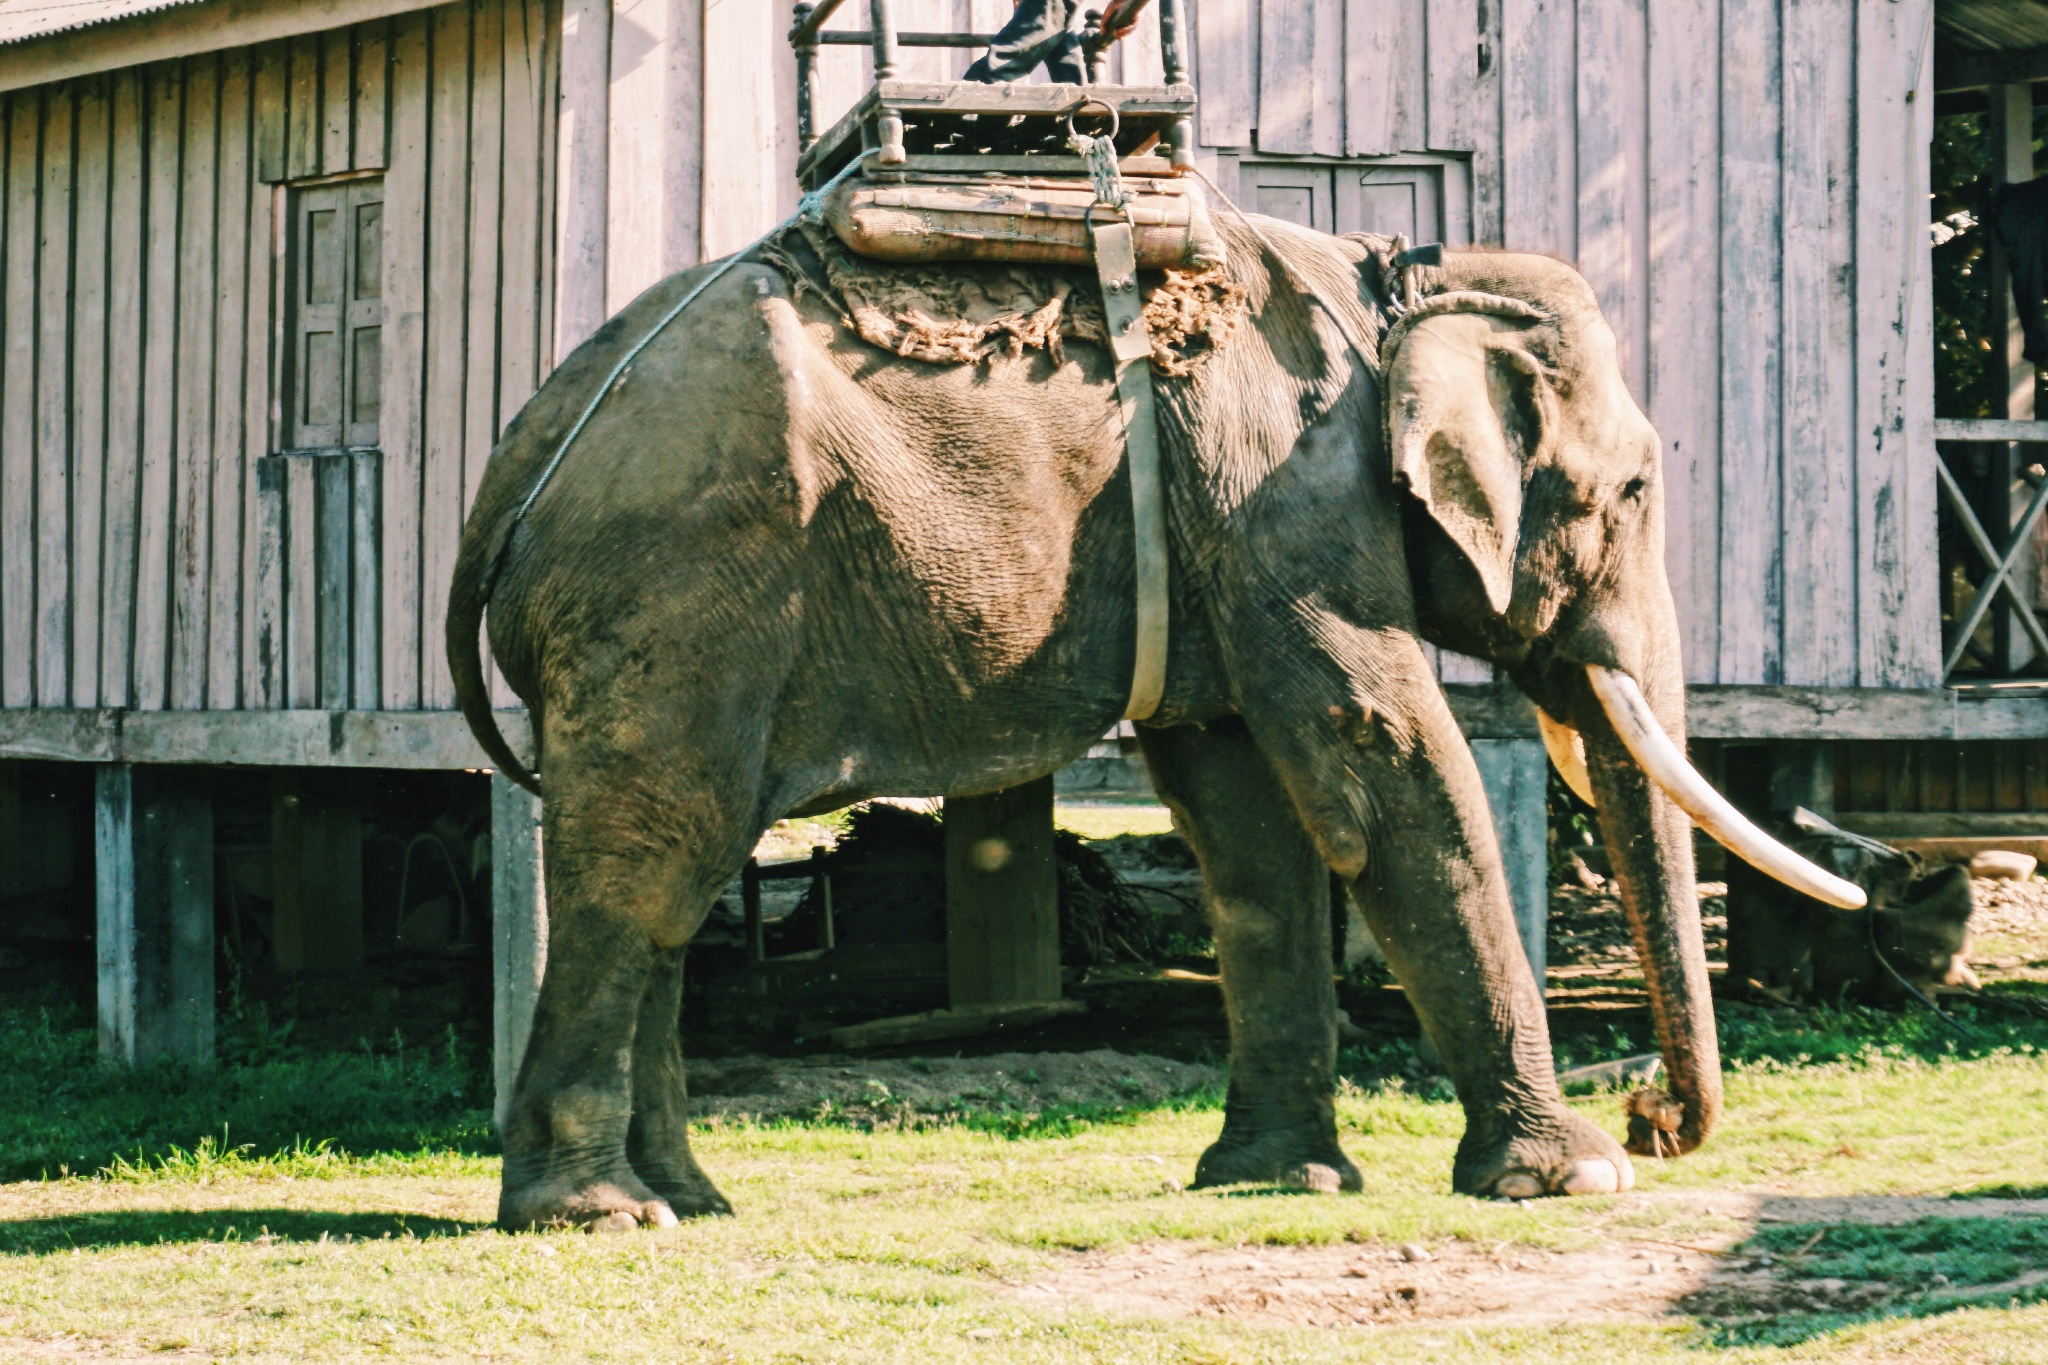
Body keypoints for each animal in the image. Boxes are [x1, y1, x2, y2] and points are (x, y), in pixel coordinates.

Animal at [448, 208, 1859, 1236]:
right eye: (1631, 491)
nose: (1650, 1121)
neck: (1397, 285)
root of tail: (512, 465)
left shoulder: (1226, 525)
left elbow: (1246, 821)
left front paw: (1276, 1182)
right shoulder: (1289, 498)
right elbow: (1379, 759)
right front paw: (1567, 1180)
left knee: (672, 876)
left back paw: (691, 1203)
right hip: (676, 595)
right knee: (653, 858)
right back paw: (601, 1216)